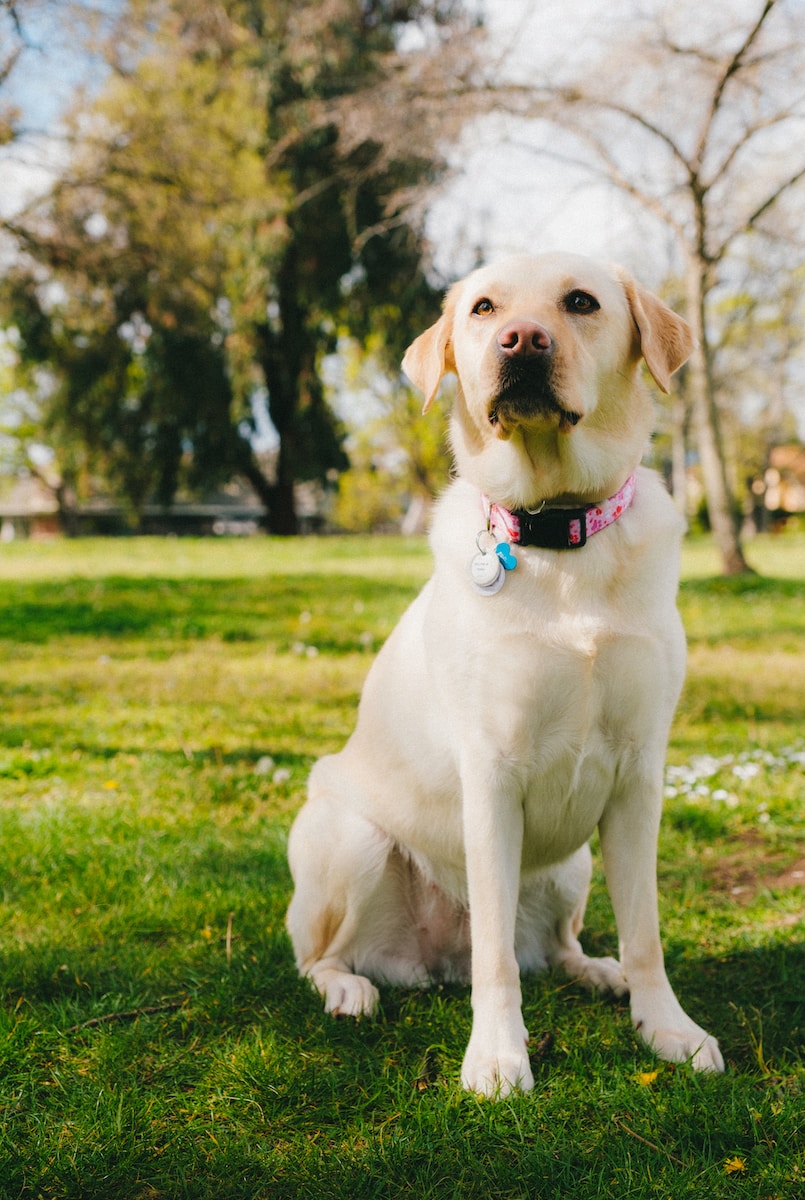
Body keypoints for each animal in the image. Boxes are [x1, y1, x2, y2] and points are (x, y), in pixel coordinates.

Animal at [287, 253, 724, 1099]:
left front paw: (667, 1027)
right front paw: (496, 1055)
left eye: (581, 302)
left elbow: (645, 932)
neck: (560, 533)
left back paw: (596, 971)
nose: (520, 342)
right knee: (323, 957)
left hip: (572, 866)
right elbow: (495, 958)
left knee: (553, 947)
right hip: (347, 839)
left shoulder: (638, 776)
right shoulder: (490, 774)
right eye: (484, 309)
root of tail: (434, 963)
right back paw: (348, 988)